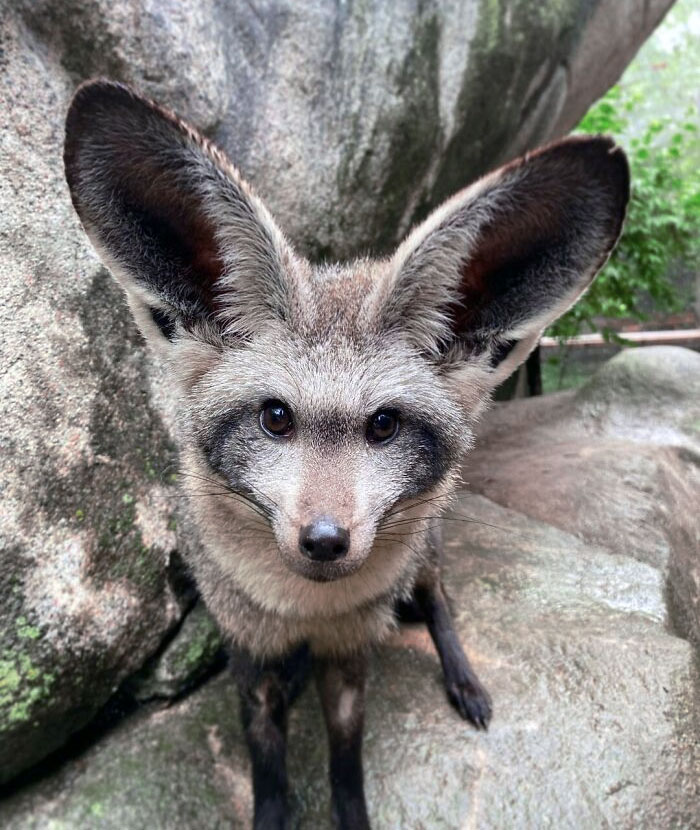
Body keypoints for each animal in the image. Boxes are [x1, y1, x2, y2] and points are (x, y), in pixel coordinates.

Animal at [63, 79, 629, 828]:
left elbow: (346, 762)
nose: (326, 540)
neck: (308, 614)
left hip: (428, 556)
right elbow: (266, 761)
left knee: (438, 599)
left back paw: (462, 676)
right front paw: (272, 809)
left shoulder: (352, 652)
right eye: (275, 418)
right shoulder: (248, 652)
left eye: (384, 425)